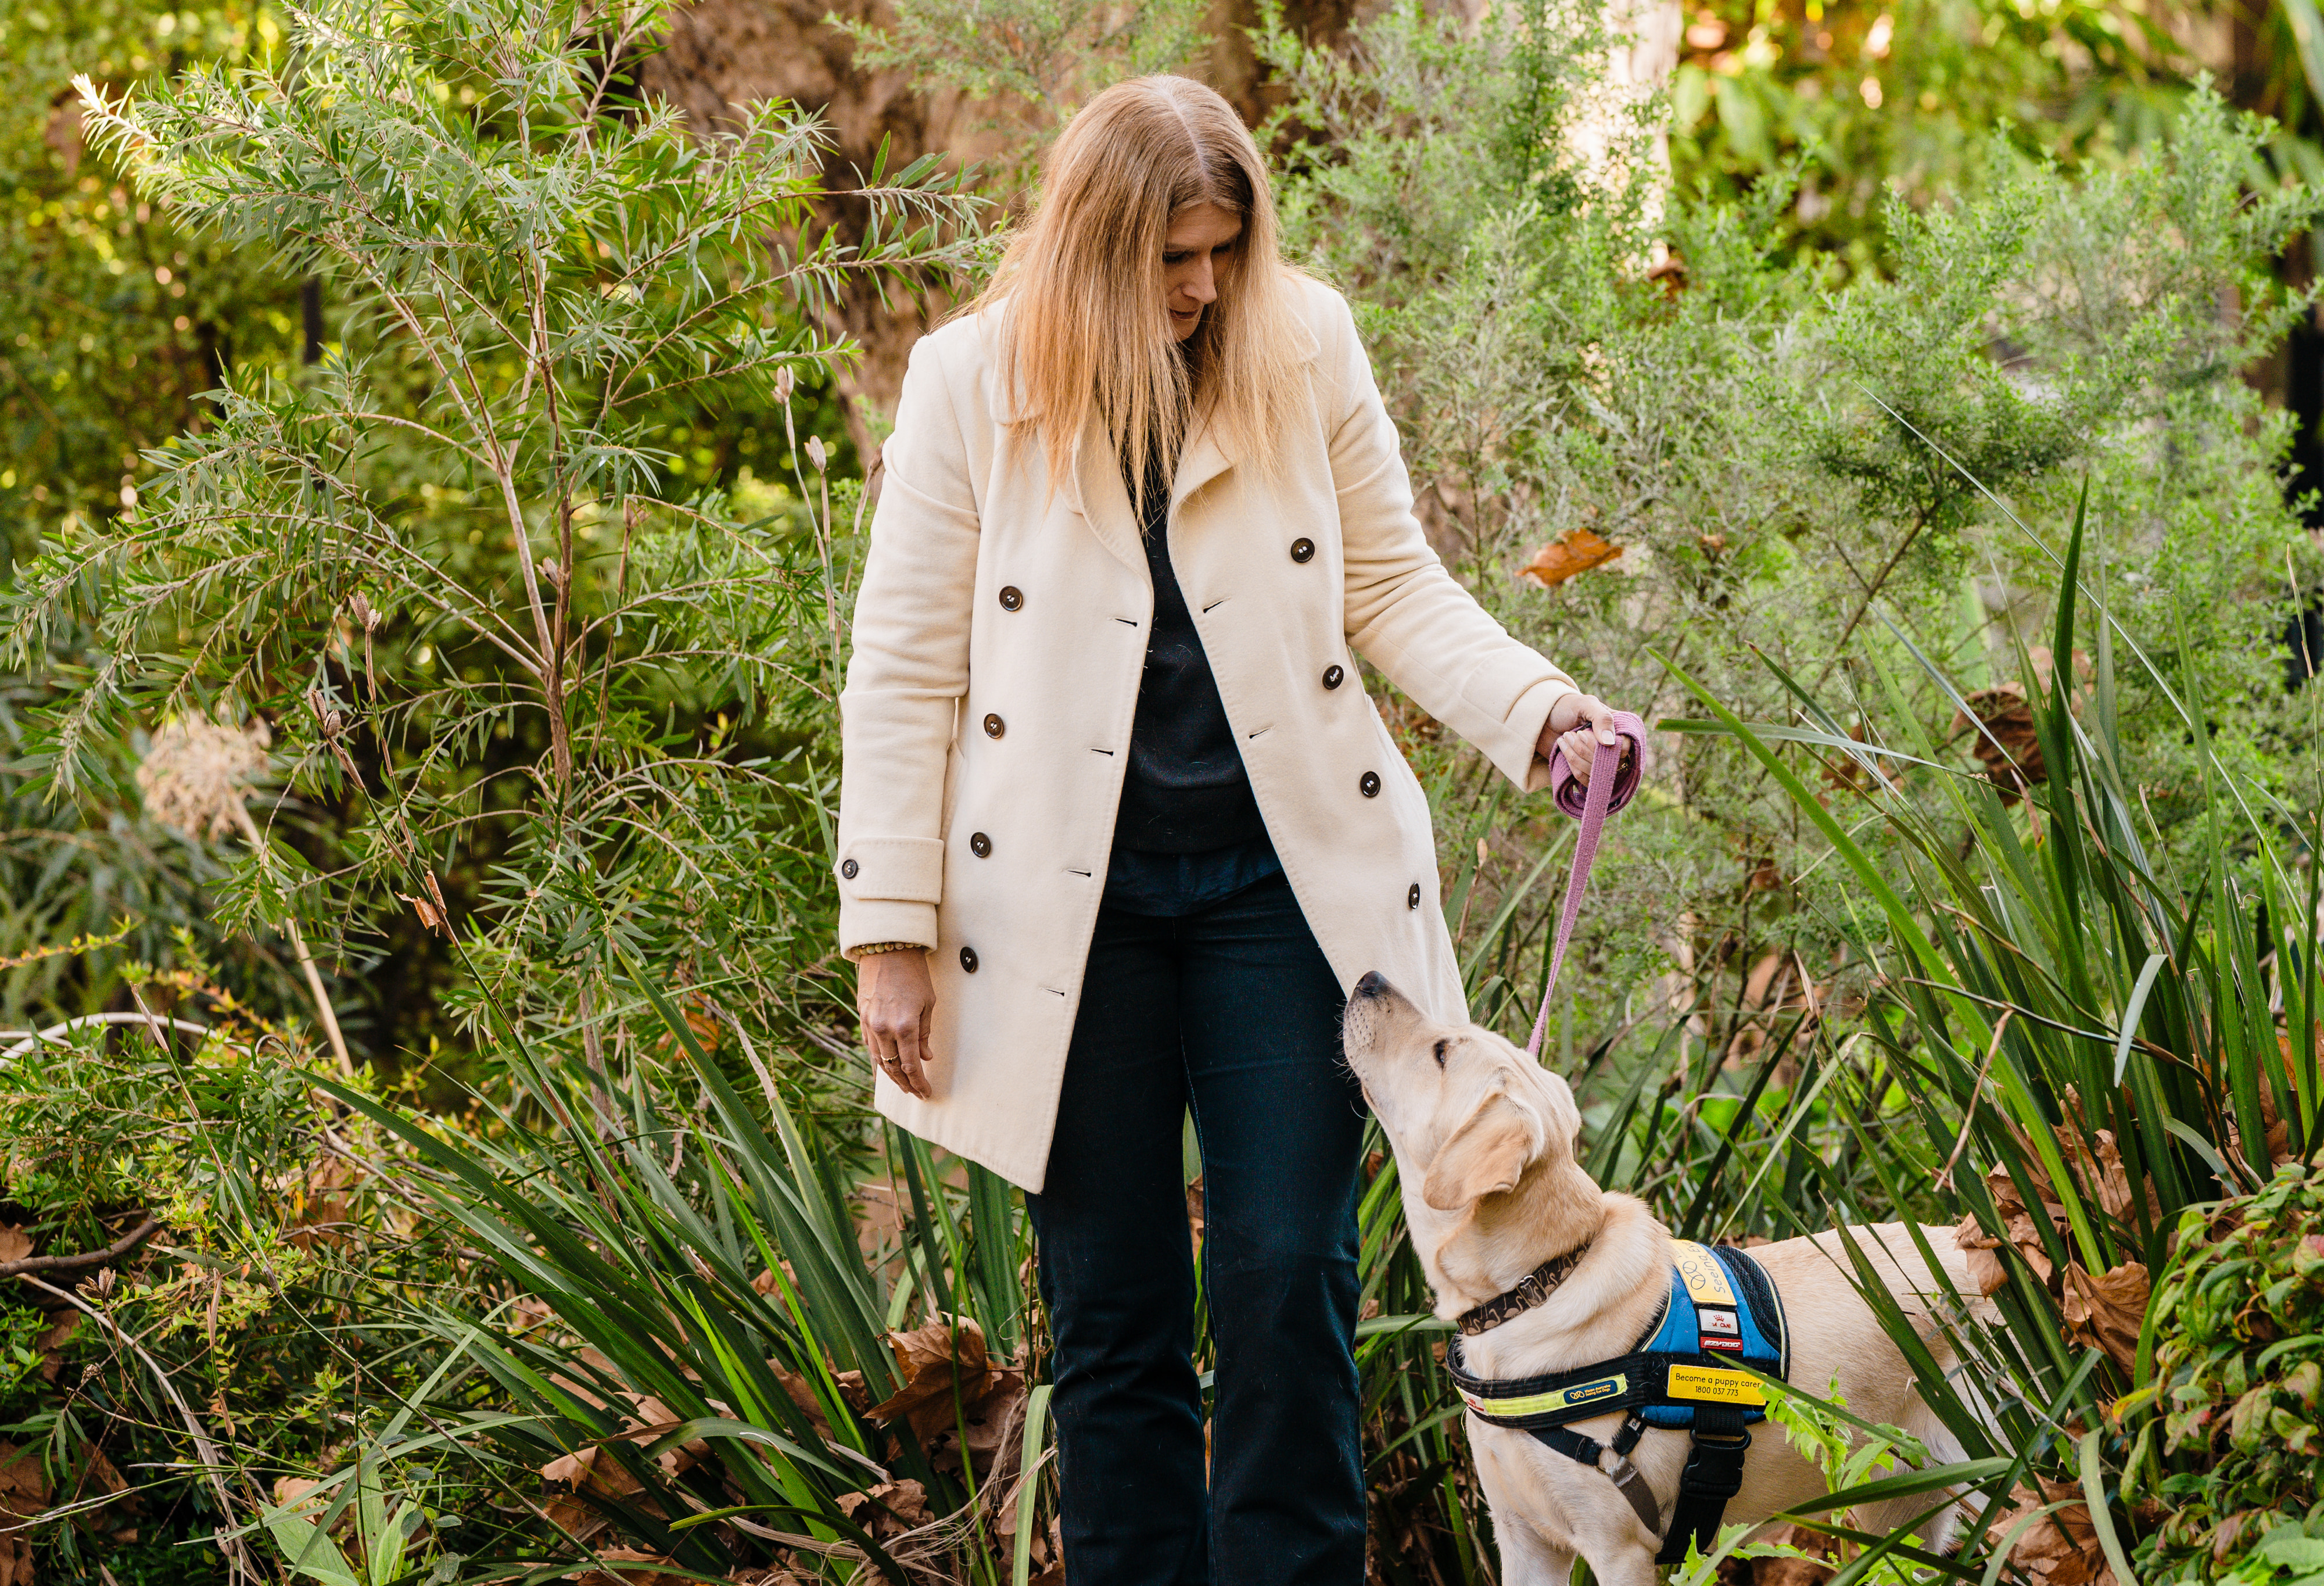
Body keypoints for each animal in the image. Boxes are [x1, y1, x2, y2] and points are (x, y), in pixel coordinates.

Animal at [1357, 972, 1989, 1571]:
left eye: (1441, 1051)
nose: (1368, 979)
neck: (1538, 1283)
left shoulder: (1618, 1547)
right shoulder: (1523, 1538)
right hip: (1902, 1507)